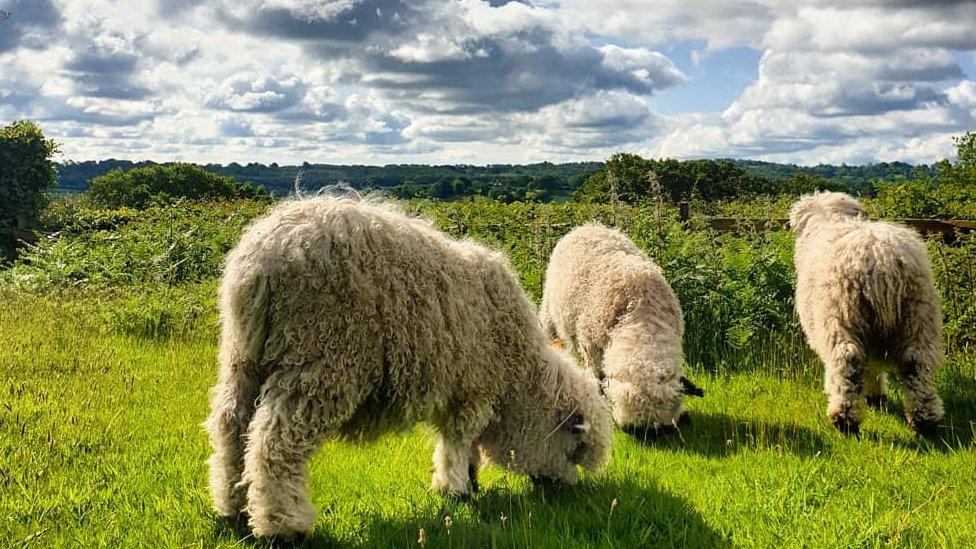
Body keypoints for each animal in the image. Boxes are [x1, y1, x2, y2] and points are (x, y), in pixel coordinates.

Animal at [204, 195, 608, 536]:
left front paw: (469, 477)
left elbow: (459, 440)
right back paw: (284, 526)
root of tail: (262, 260)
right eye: (575, 444)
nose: (562, 493)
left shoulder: (458, 389)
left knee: (231, 425)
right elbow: (458, 439)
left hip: (244, 356)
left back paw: (233, 508)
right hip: (321, 356)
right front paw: (456, 488)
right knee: (274, 442)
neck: (519, 375)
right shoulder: (475, 387)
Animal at [792, 191, 944, 434]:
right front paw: (876, 397)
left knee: (847, 360)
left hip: (843, 315)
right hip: (918, 314)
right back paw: (924, 420)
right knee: (916, 362)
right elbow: (873, 366)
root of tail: (882, 261)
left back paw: (844, 419)